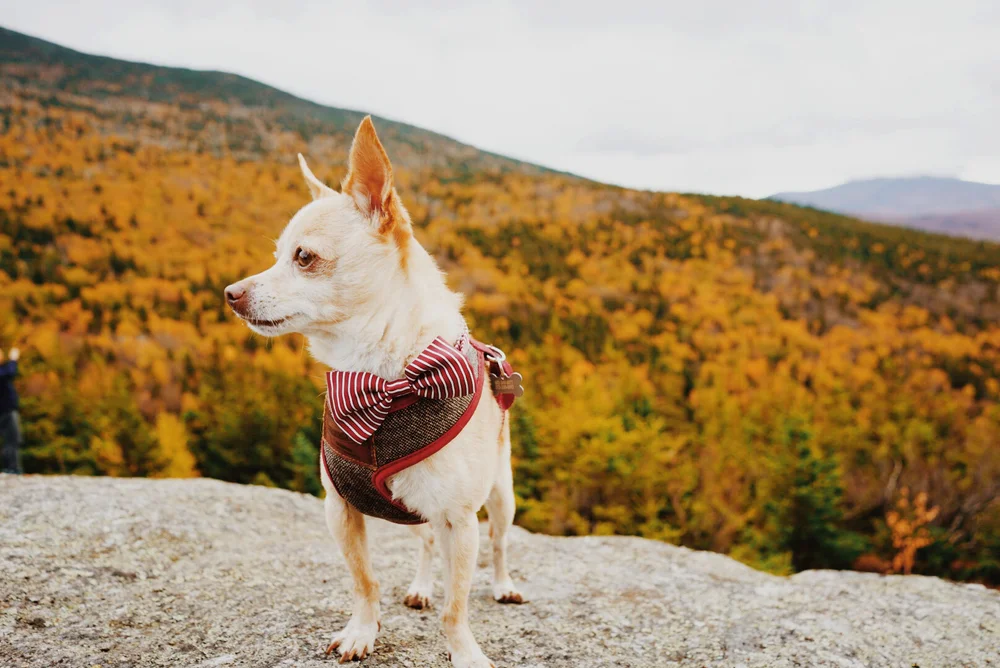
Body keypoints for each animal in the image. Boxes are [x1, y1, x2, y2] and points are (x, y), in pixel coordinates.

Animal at [225, 117, 524, 664]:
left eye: (303, 257)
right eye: (276, 256)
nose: (230, 294)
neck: (385, 382)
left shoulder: (461, 520)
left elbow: (457, 605)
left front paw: (465, 651)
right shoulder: (340, 509)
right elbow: (364, 581)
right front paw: (362, 631)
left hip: (501, 494)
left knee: (498, 546)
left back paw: (504, 584)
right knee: (426, 545)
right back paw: (421, 587)